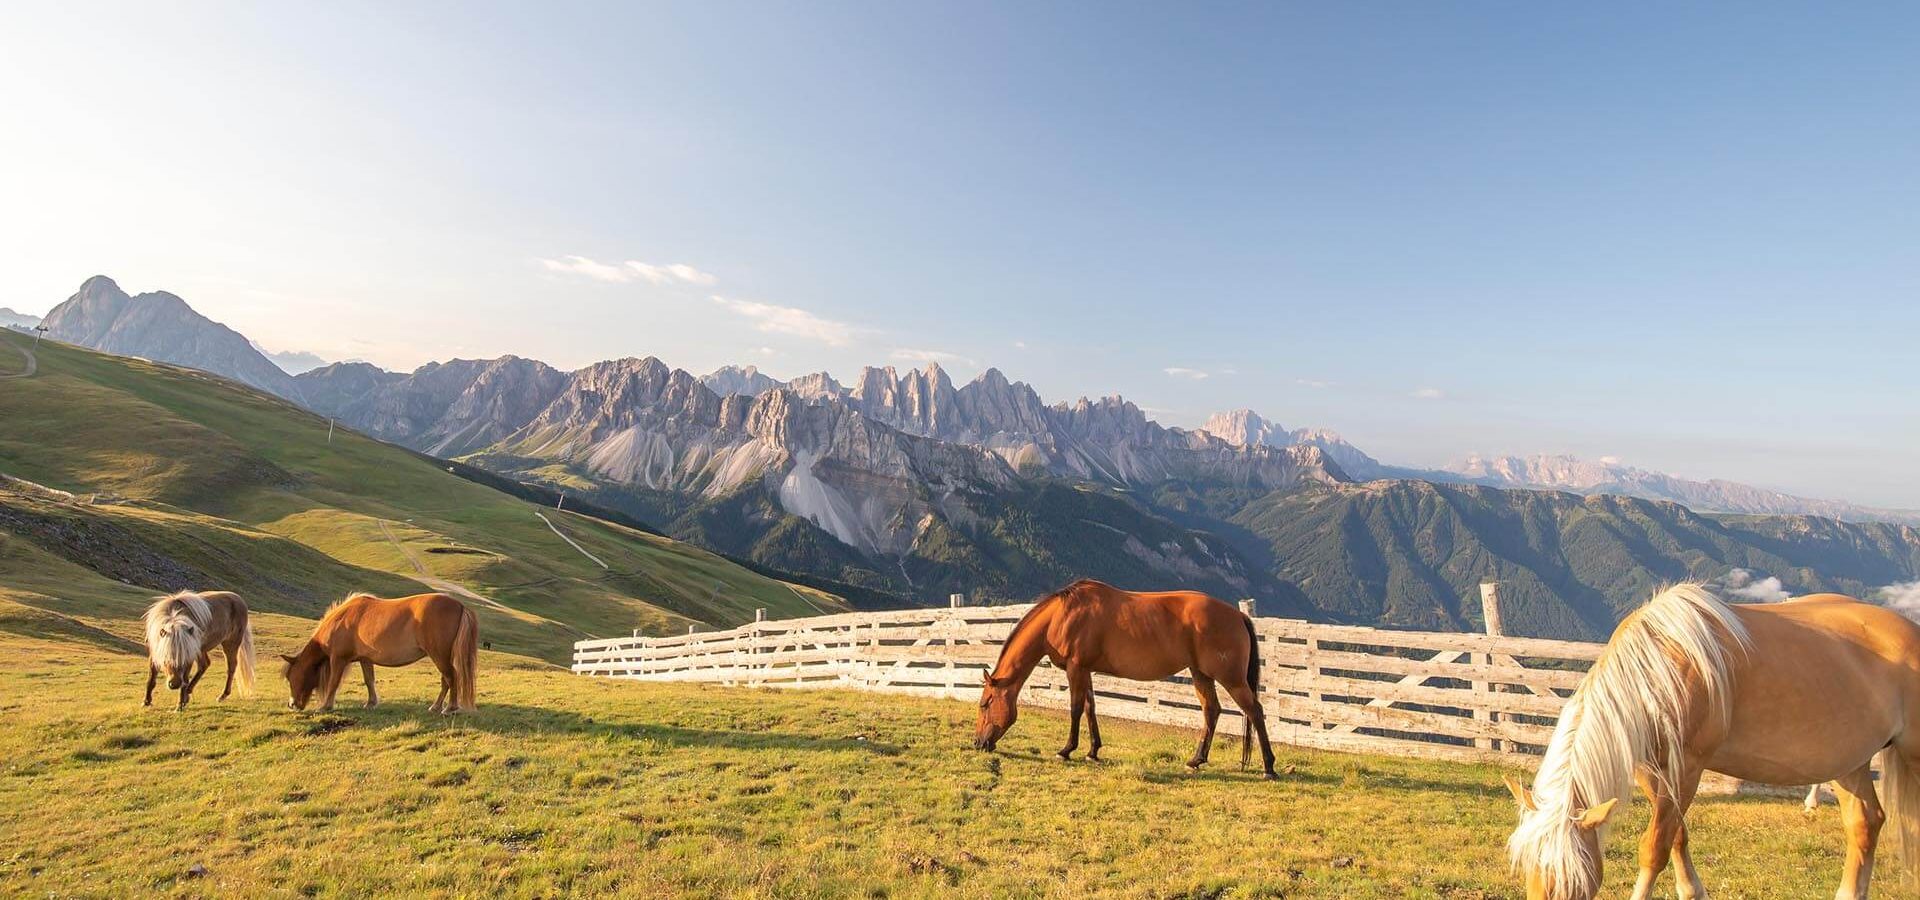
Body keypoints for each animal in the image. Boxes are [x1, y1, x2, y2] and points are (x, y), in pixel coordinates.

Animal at [282, 591, 480, 713]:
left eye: (291, 677)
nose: (291, 704)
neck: (341, 620)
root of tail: (459, 605)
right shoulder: (365, 659)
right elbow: (369, 680)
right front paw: (371, 703)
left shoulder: (338, 659)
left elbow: (333, 682)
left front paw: (325, 706)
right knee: (446, 680)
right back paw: (436, 707)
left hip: (439, 655)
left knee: (451, 677)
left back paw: (450, 708)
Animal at [975, 579, 1274, 775]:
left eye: (985, 704)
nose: (978, 743)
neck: (1061, 615)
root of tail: (1238, 615)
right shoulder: (1086, 670)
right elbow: (1090, 708)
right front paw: (1093, 751)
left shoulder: (1076, 668)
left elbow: (1075, 708)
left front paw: (1066, 750)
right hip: (1201, 674)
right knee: (1211, 711)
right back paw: (1196, 760)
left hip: (1231, 679)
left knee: (1255, 711)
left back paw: (1269, 766)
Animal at [1497, 583, 1920, 898]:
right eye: (1529, 868)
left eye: (1569, 878)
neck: (1659, 668)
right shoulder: (1652, 770)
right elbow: (1676, 836)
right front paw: (1692, 891)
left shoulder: (1687, 768)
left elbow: (1655, 847)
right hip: (1849, 762)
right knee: (1865, 823)